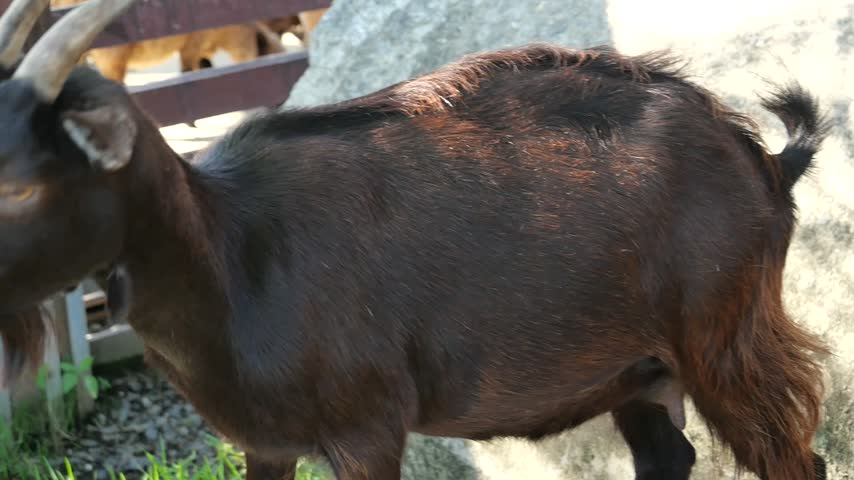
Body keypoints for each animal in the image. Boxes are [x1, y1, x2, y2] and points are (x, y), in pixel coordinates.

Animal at [0, 0, 831, 479]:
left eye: (17, 185)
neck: (228, 256)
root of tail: (763, 160)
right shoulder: (265, 442)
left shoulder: (367, 430)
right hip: (638, 370)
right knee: (668, 459)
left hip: (727, 336)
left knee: (796, 462)